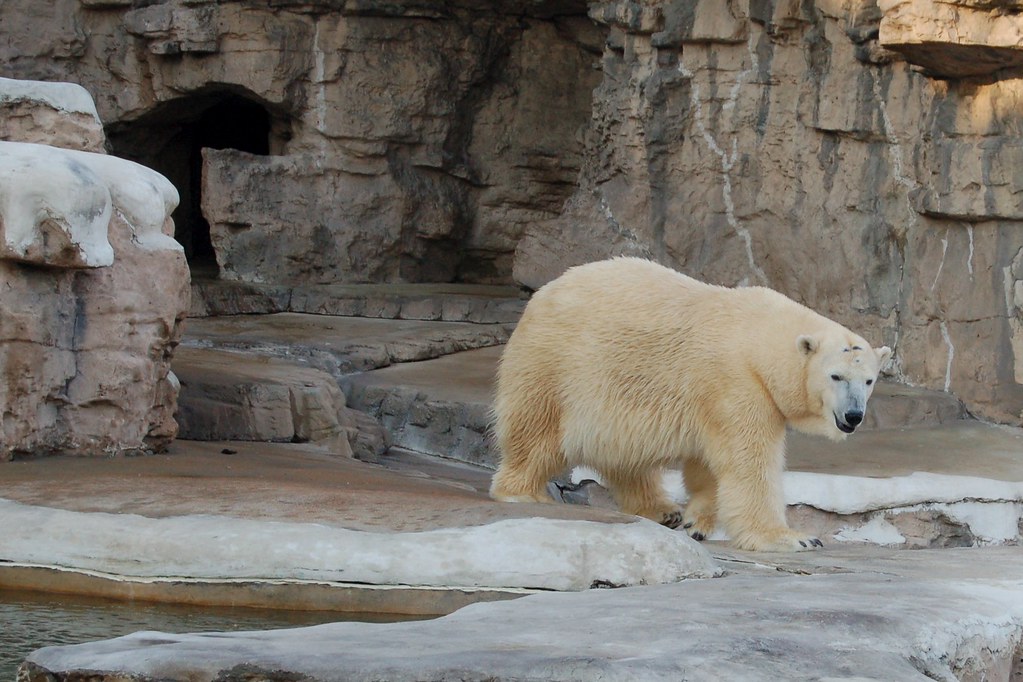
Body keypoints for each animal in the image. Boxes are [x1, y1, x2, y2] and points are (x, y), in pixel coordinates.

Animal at [489, 257, 892, 552]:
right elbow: (749, 463)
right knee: (538, 432)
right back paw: (522, 491)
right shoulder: (736, 382)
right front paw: (795, 538)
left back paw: (662, 510)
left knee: (625, 455)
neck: (756, 337)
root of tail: (541, 295)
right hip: (556, 366)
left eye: (868, 380)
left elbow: (707, 465)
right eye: (836, 376)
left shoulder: (713, 397)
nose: (853, 416)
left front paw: (696, 522)